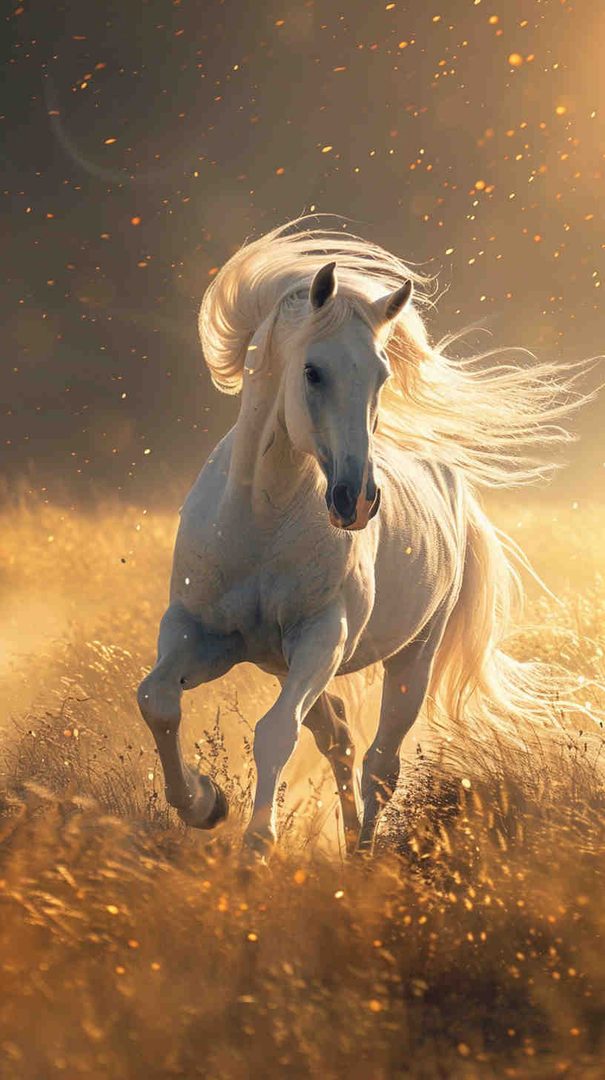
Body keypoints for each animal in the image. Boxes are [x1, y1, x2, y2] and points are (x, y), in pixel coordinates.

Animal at [137, 215, 592, 856]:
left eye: (381, 374)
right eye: (312, 370)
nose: (356, 500)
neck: (261, 521)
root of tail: (451, 483)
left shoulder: (322, 639)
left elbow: (275, 732)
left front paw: (257, 843)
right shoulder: (201, 634)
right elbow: (158, 702)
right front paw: (205, 804)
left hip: (410, 659)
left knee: (380, 761)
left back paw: (363, 857)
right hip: (279, 663)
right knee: (340, 739)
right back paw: (350, 840)